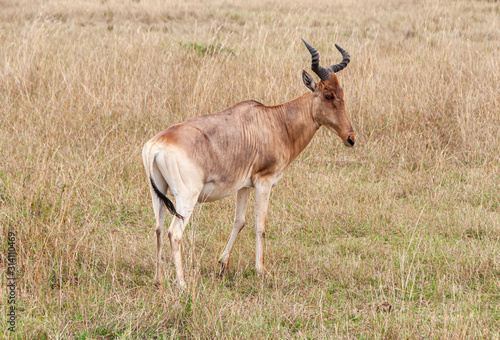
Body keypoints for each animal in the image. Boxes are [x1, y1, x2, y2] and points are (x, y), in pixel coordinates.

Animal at [142, 39, 356, 286]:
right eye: (328, 95)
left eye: (342, 92)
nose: (350, 138)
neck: (275, 121)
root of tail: (156, 145)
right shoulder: (264, 181)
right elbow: (260, 225)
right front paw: (261, 270)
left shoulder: (244, 185)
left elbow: (239, 221)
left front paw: (222, 265)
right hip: (186, 197)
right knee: (174, 233)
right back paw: (183, 284)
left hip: (157, 192)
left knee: (158, 228)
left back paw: (158, 280)